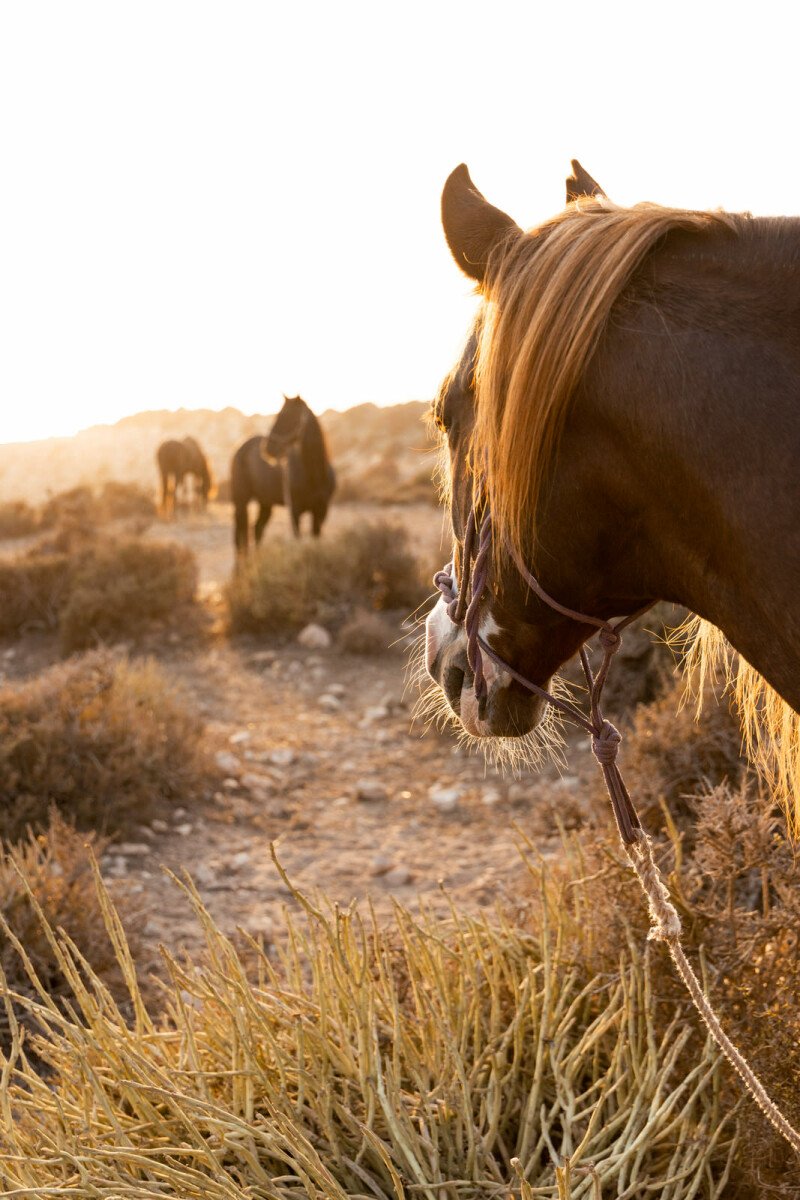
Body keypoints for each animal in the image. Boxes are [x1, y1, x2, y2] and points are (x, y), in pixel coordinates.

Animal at [231, 398, 335, 556]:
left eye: (289, 417)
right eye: (279, 414)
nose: (267, 448)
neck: (314, 475)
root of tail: (241, 448)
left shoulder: (321, 511)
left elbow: (315, 536)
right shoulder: (295, 511)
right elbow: (298, 538)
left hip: (265, 502)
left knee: (257, 529)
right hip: (241, 500)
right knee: (240, 533)